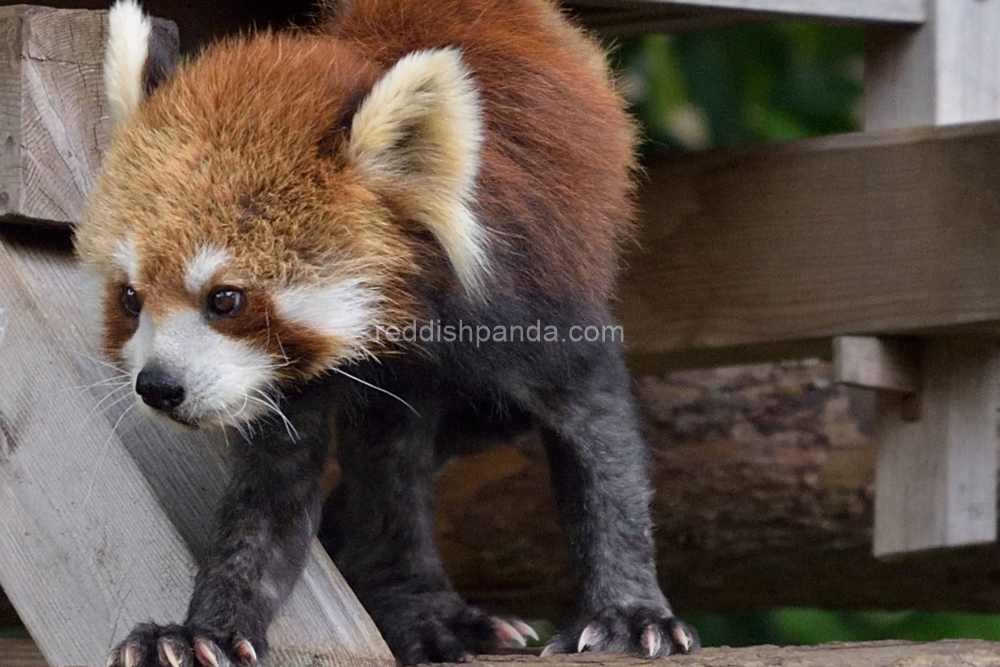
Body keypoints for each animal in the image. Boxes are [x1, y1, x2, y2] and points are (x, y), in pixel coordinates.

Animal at [74, 0, 700, 664]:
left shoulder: (529, 302)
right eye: (131, 299)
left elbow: (600, 447)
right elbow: (269, 505)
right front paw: (206, 630)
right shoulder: (286, 378)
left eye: (225, 298)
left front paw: (629, 615)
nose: (158, 386)